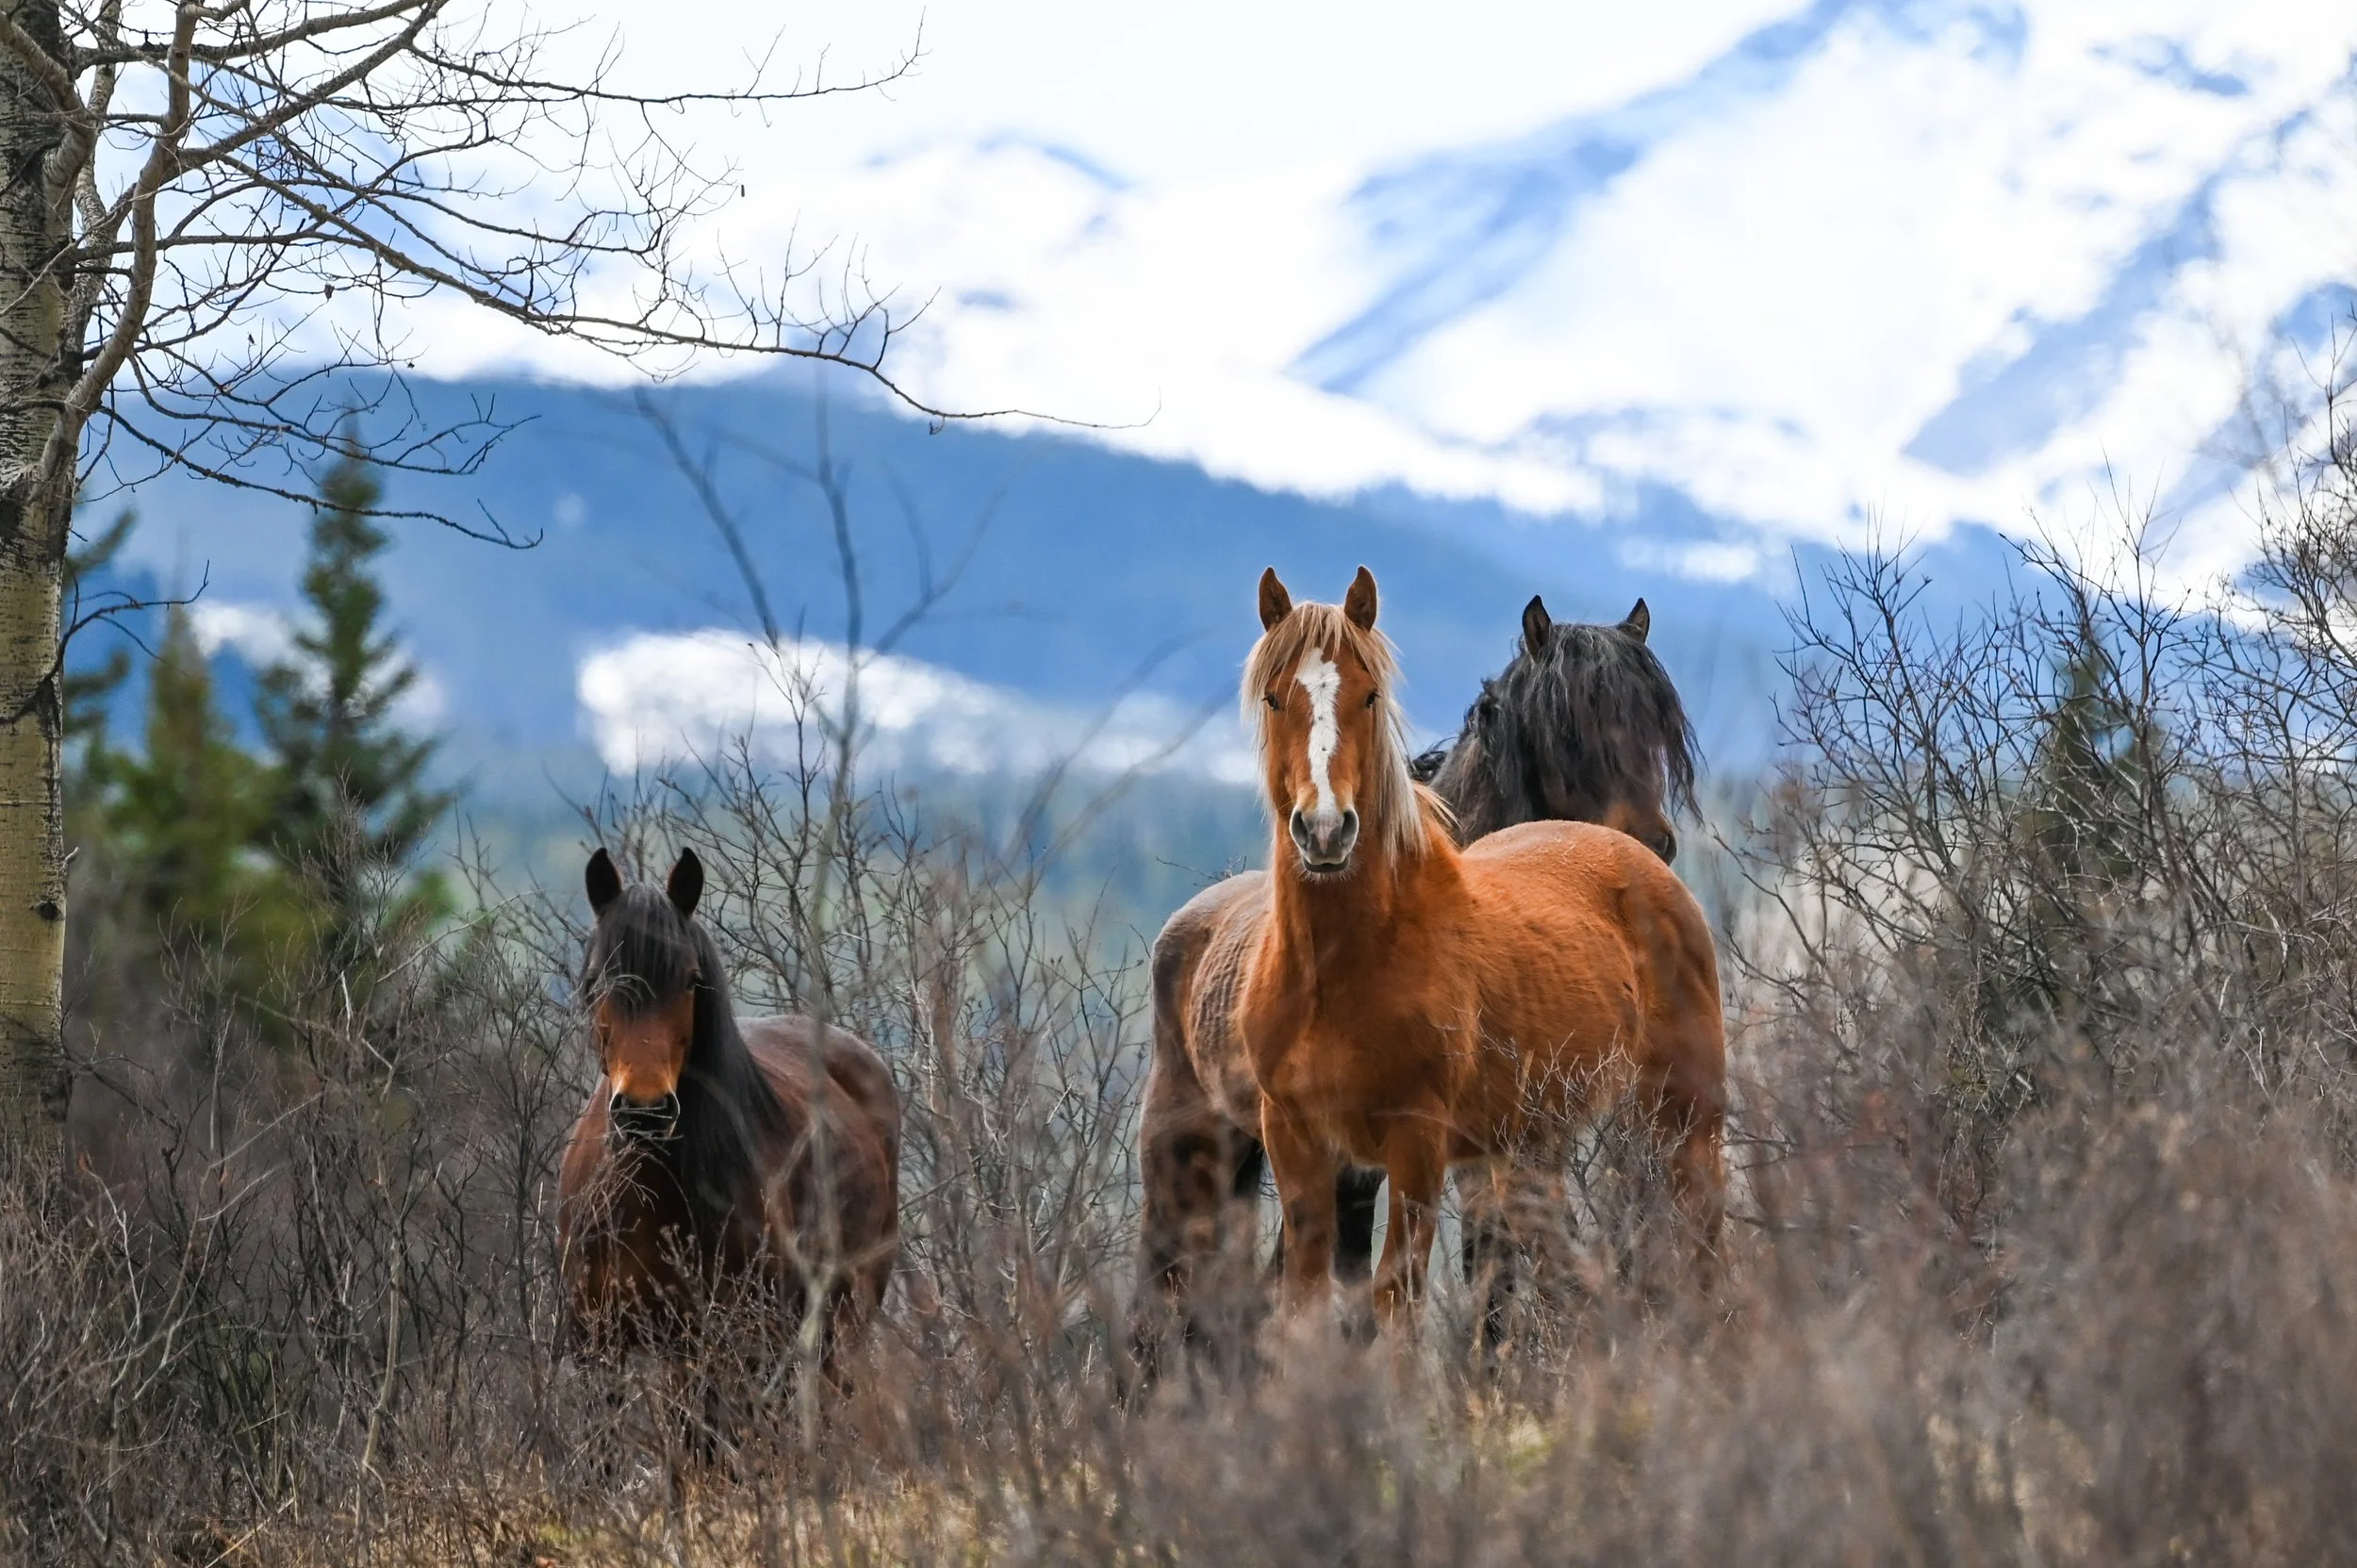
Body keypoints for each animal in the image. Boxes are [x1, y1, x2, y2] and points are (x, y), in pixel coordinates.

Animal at [558, 847, 901, 1403]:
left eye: (691, 979)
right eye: (596, 980)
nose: (645, 1112)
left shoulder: (718, 1347)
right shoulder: (598, 1351)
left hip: (835, 1325)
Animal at [1132, 585, 1698, 1371]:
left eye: (1658, 724)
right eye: (1568, 724)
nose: (1646, 846)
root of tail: (1185, 927)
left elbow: (1495, 1270)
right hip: (1187, 1154)